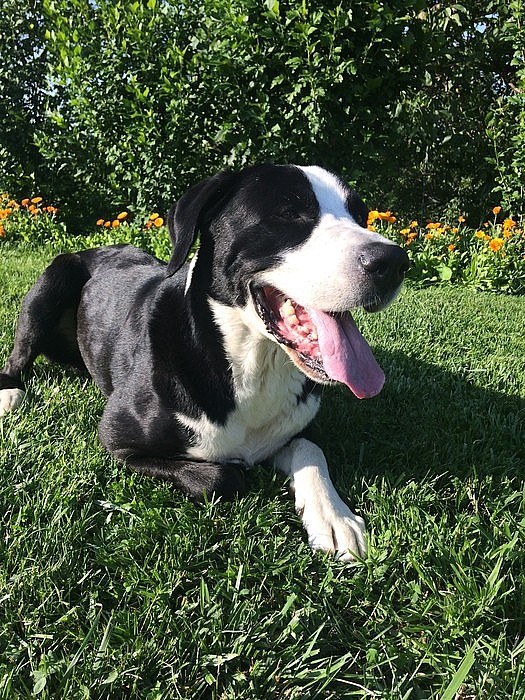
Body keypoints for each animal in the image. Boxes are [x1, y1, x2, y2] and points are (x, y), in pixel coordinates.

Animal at [0, 165, 409, 561]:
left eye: (360, 215)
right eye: (288, 213)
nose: (394, 261)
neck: (251, 362)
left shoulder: (293, 427)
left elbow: (310, 448)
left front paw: (334, 517)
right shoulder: (118, 441)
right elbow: (222, 477)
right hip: (54, 280)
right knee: (18, 356)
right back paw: (10, 393)